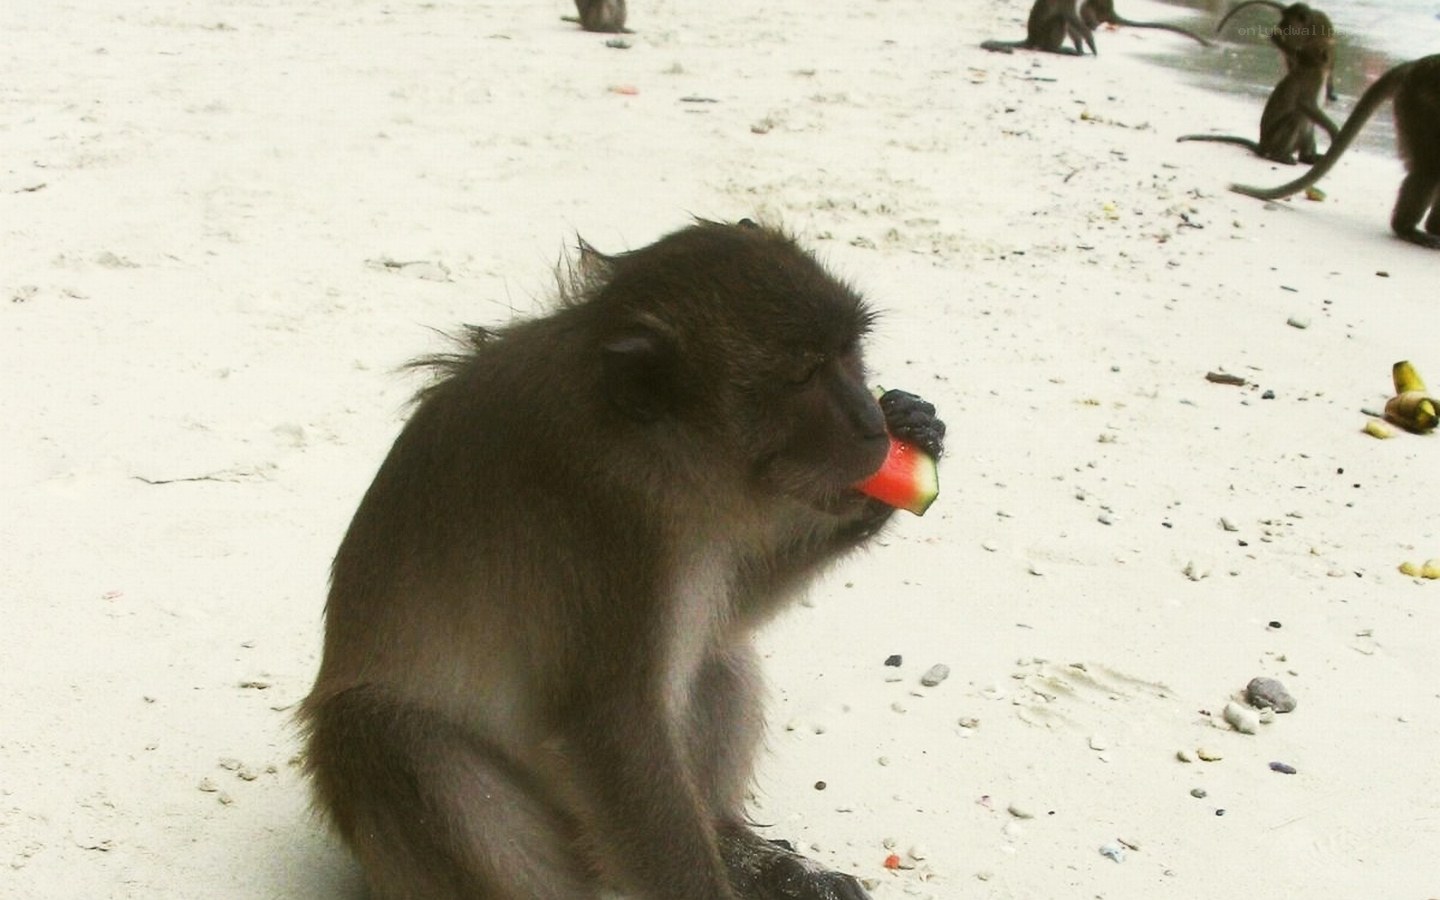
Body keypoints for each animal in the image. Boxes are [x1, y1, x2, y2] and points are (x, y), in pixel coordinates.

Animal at [297, 219, 948, 900]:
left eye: (848, 352)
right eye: (804, 376)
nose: (872, 424)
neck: (648, 438)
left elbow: (732, 601)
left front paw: (904, 443)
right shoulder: (608, 520)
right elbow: (612, 724)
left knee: (716, 649)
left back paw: (741, 849)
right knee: (385, 733)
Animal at [1176, 37, 1338, 164]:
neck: (1312, 64)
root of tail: (1262, 145)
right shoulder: (1313, 79)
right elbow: (1306, 105)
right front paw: (1333, 130)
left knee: (1307, 124)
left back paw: (1307, 157)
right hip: (1273, 140)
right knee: (1296, 117)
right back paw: (1279, 156)